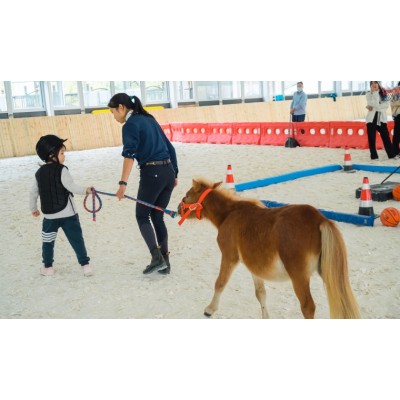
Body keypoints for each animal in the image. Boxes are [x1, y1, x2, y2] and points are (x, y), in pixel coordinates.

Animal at [178, 178, 361, 319]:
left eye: (187, 195)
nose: (179, 209)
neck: (228, 214)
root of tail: (320, 219)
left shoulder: (229, 257)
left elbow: (220, 283)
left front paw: (209, 310)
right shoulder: (253, 265)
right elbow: (261, 293)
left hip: (299, 276)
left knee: (308, 306)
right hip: (327, 271)